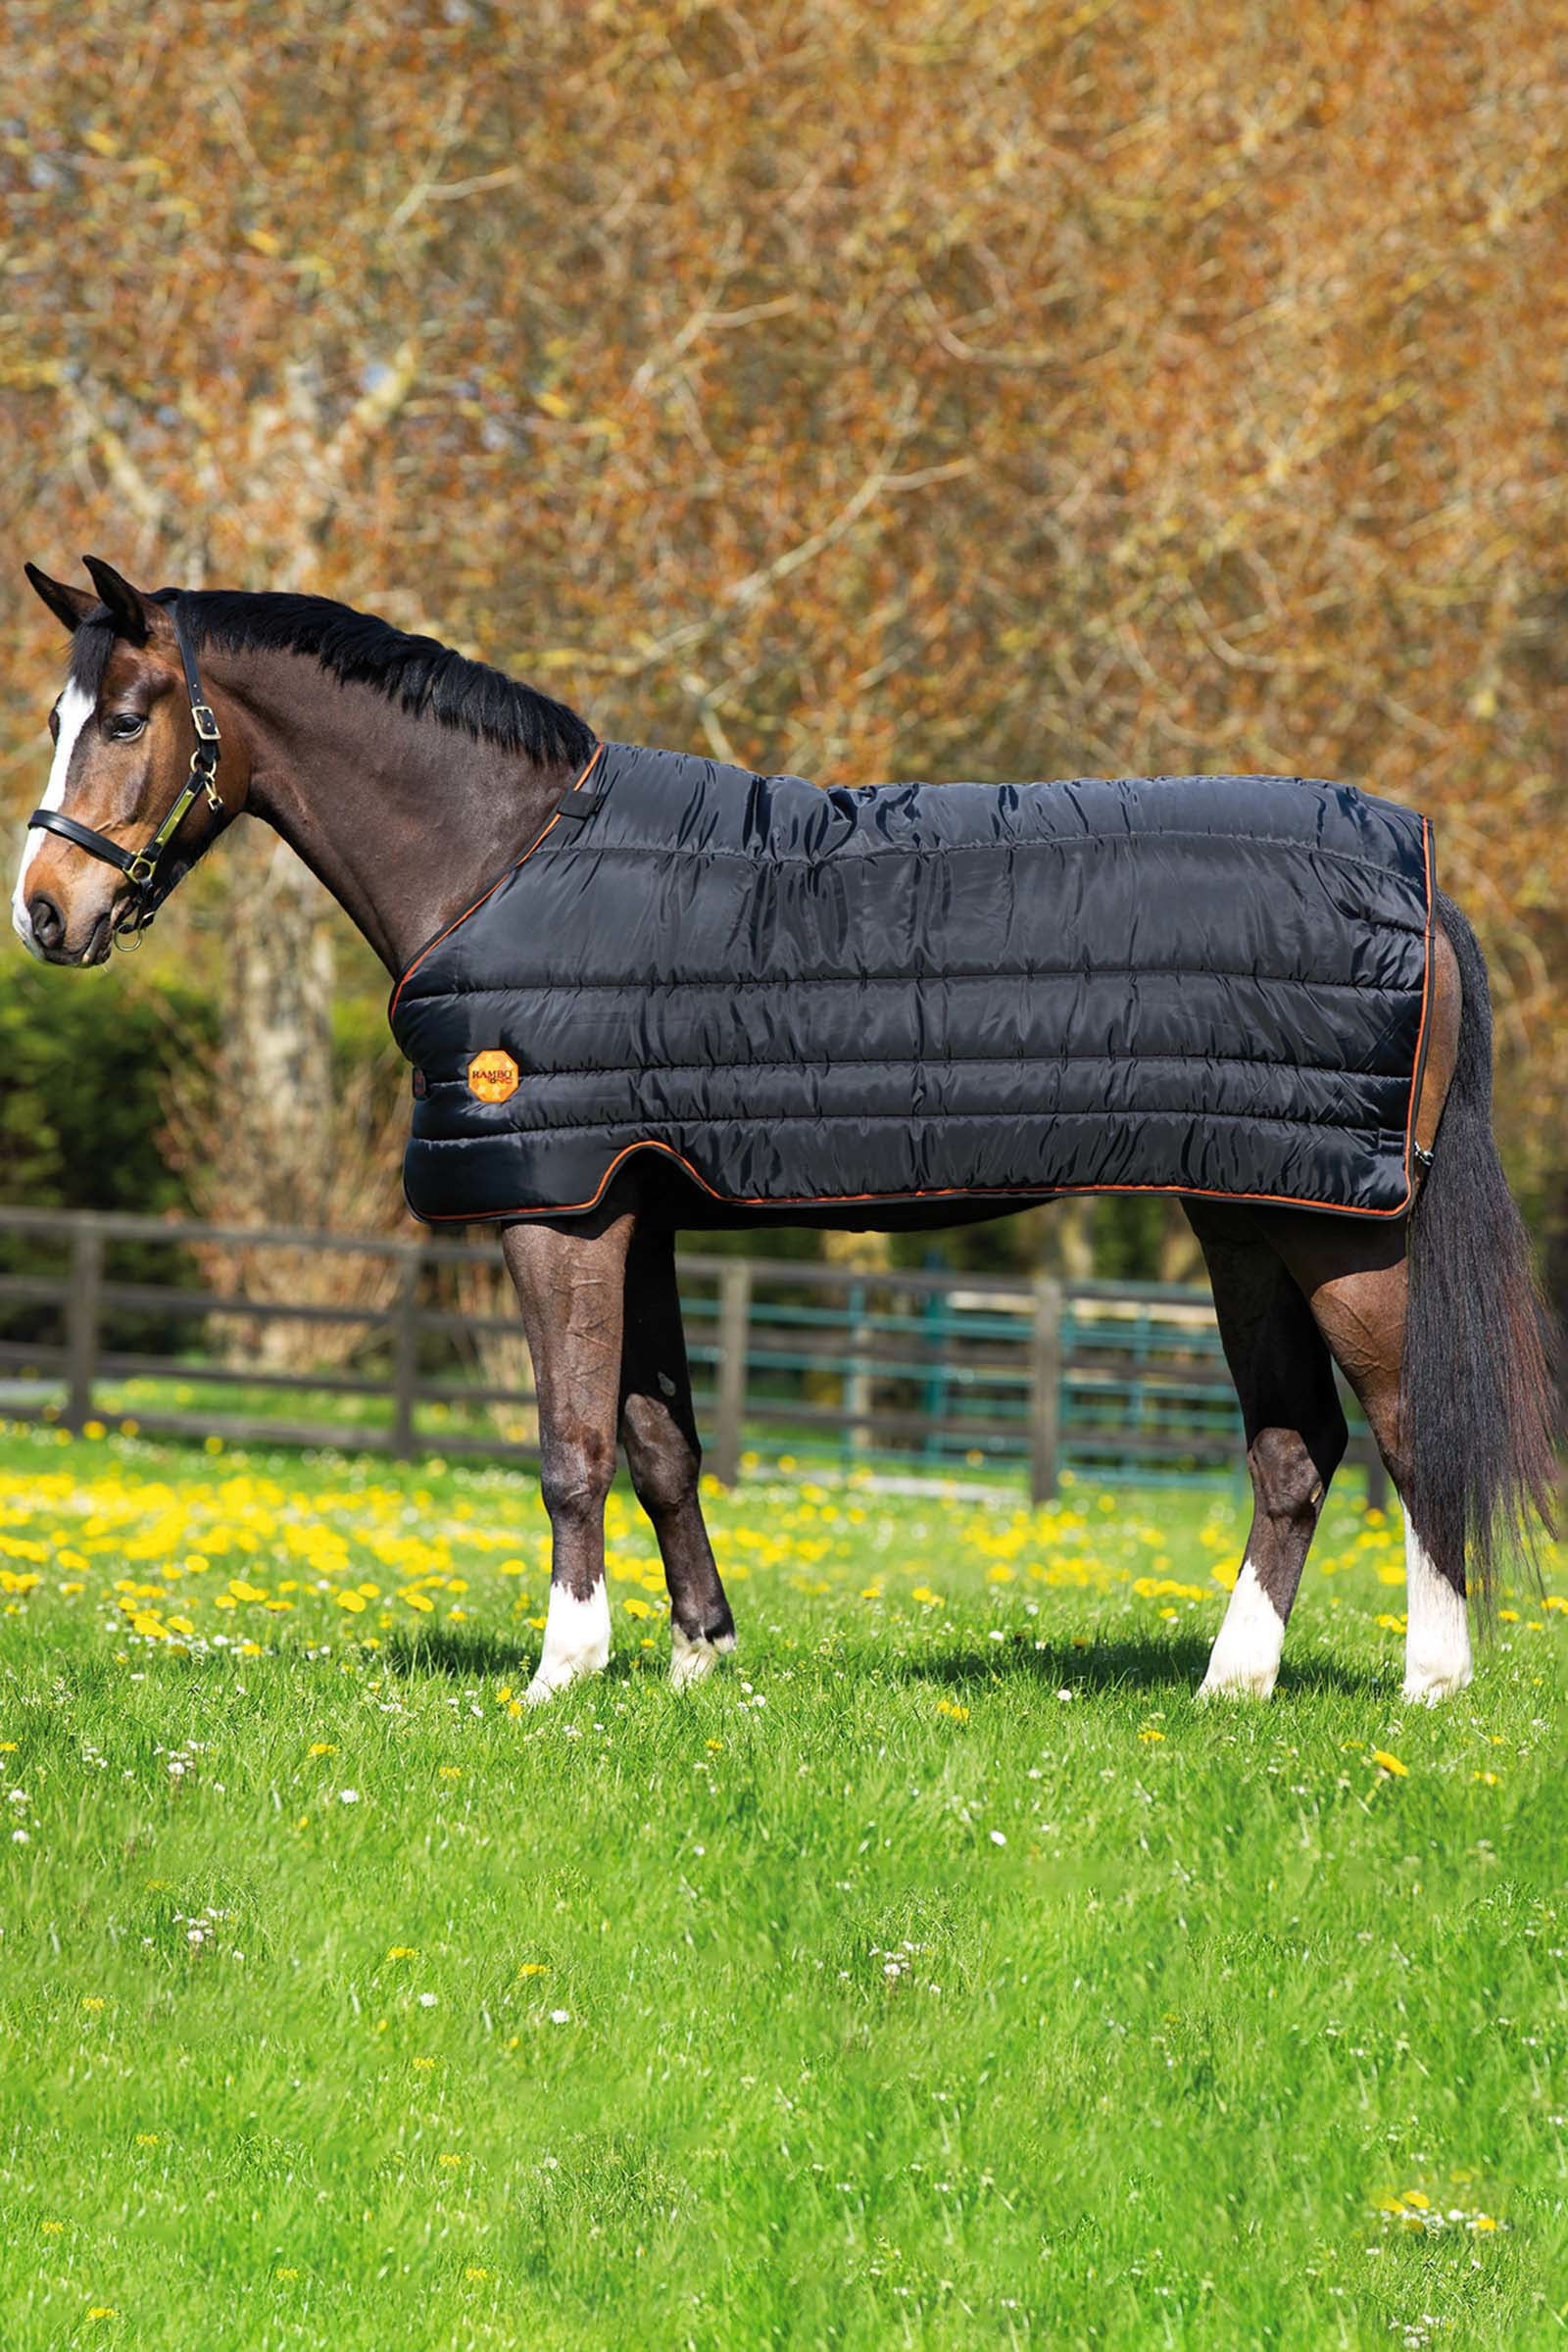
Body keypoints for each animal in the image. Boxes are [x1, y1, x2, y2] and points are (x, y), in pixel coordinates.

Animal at [14, 556, 1557, 1706]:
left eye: (127, 720)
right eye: (57, 718)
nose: (44, 912)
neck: (503, 857)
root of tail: (1423, 882)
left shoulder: (560, 1206)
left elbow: (570, 1443)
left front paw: (562, 1673)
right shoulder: (635, 1206)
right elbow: (660, 1444)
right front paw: (700, 1657)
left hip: (1334, 1230)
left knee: (1412, 1433)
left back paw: (1430, 1684)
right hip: (1246, 1211)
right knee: (1297, 1448)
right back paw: (1230, 1689)